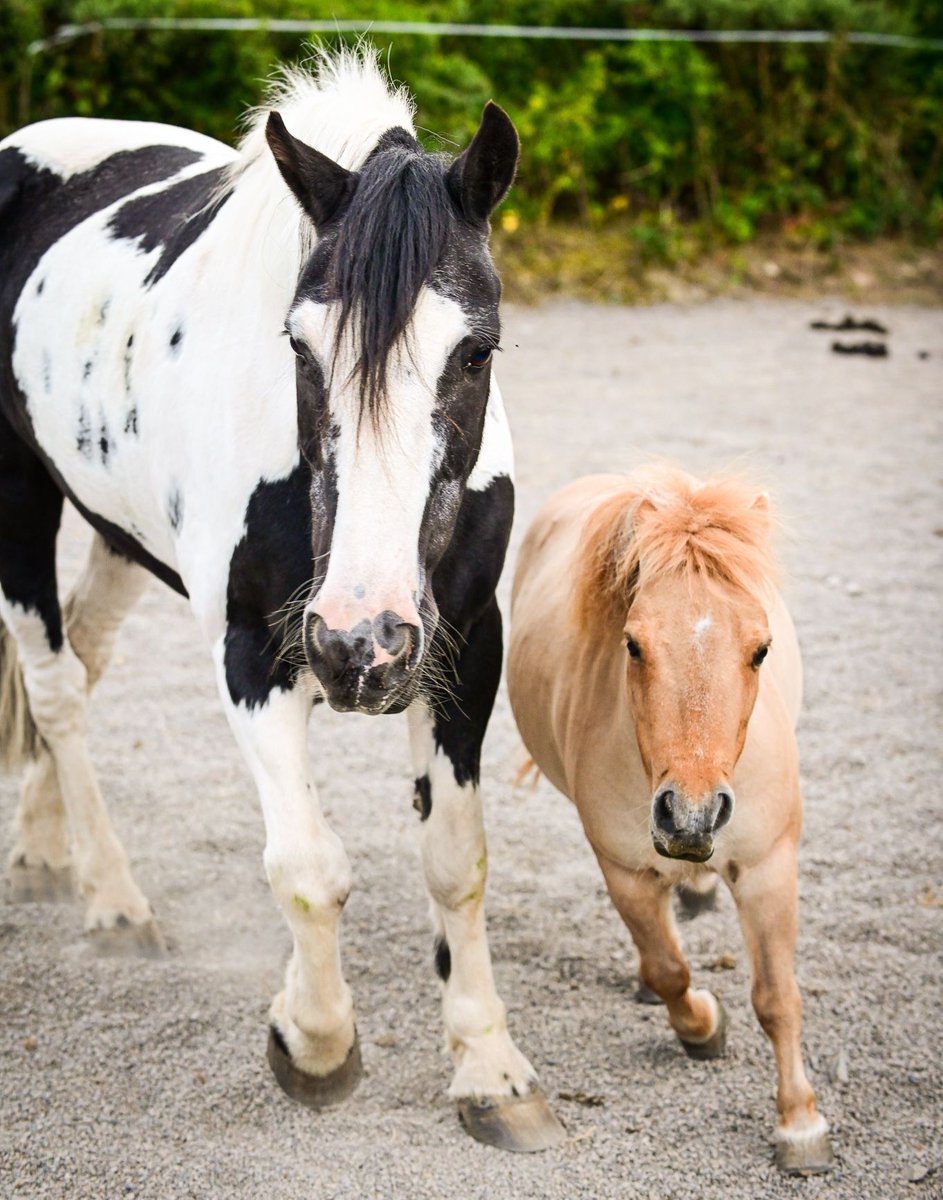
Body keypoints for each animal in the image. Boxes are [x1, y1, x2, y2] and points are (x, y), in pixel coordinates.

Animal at [0, 46, 564, 1151]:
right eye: (300, 349)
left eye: (476, 351)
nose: (361, 644)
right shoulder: (253, 651)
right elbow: (306, 866)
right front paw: (313, 1044)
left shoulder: (466, 648)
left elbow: (455, 860)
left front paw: (490, 1070)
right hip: (10, 498)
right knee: (57, 689)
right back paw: (115, 902)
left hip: (119, 534)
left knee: (81, 656)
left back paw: (48, 853)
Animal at [507, 465, 834, 1174]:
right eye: (633, 644)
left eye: (761, 649)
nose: (691, 814)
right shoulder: (625, 872)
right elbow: (669, 972)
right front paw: (703, 1028)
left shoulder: (769, 867)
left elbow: (778, 998)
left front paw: (799, 1123)